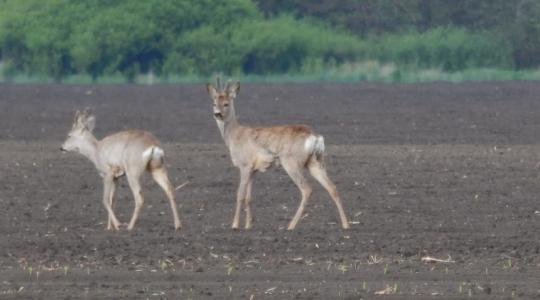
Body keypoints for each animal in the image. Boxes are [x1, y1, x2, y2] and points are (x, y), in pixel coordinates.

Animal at [207, 78, 350, 230]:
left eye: (226, 104)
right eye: (214, 103)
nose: (217, 114)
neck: (235, 135)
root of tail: (315, 137)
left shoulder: (245, 165)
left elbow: (240, 195)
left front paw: (234, 225)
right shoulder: (254, 169)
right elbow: (249, 197)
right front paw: (248, 225)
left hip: (291, 162)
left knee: (307, 189)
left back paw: (290, 226)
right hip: (315, 161)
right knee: (332, 187)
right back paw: (346, 224)